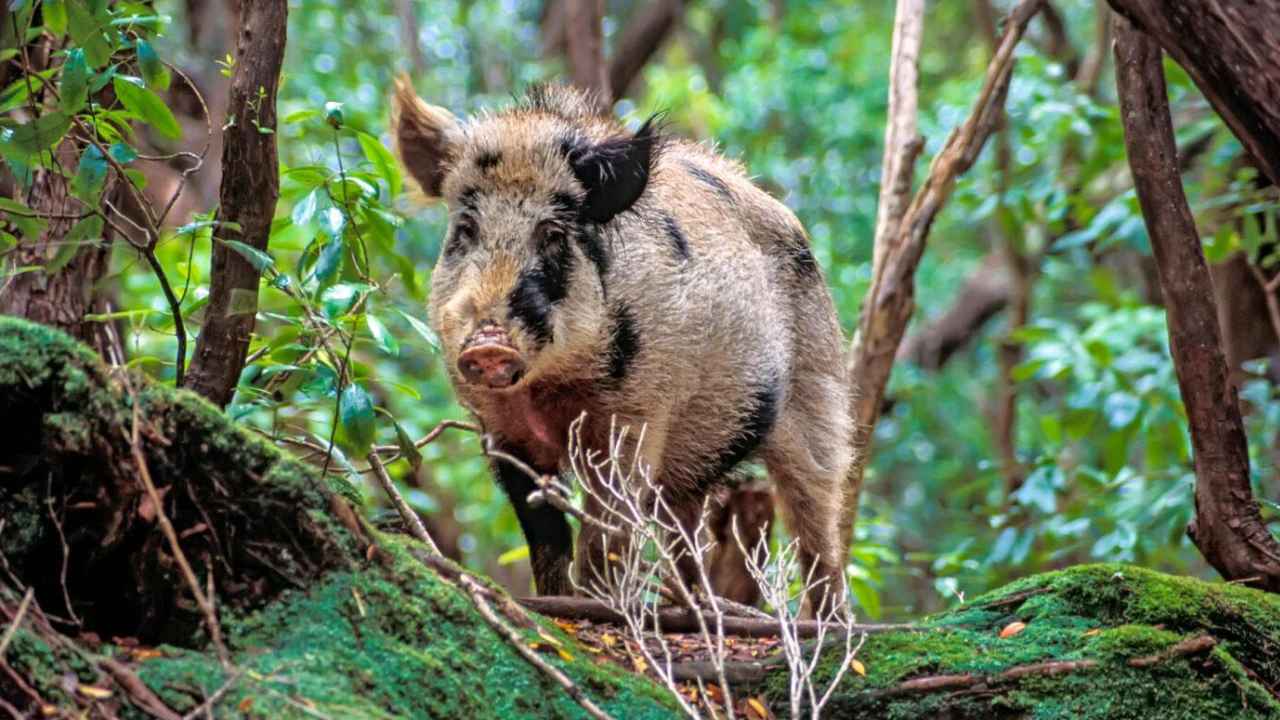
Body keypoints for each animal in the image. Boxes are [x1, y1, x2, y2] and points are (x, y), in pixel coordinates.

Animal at [393, 79, 852, 609]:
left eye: (553, 233)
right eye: (466, 230)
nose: (489, 344)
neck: (550, 387)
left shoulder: (636, 415)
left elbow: (605, 532)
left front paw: (599, 604)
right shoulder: (500, 430)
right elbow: (545, 536)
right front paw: (557, 604)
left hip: (819, 390)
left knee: (818, 518)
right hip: (694, 459)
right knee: (687, 529)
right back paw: (690, 606)